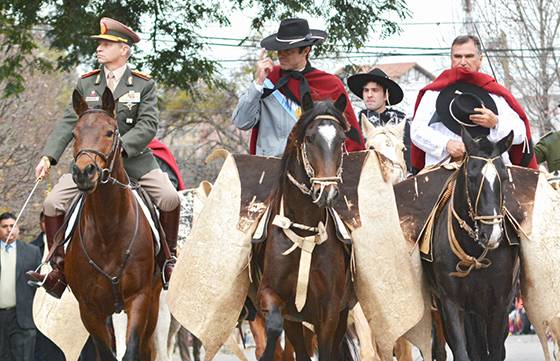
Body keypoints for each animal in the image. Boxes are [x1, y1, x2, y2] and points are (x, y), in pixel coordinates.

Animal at [66, 88, 162, 360]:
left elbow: (131, 351)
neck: (108, 229)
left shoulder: (139, 299)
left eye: (110, 132)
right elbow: (106, 353)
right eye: (74, 134)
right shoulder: (89, 309)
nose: (84, 172)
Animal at [258, 93, 356, 360]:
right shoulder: (273, 296)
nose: (327, 192)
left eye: (341, 139)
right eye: (310, 138)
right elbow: (273, 327)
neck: (304, 231)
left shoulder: (330, 310)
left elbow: (326, 349)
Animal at [424, 129, 520, 360]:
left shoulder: (499, 304)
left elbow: (495, 351)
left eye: (504, 177)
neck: (475, 252)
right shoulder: (451, 303)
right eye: (473, 178)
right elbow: (463, 350)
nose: (492, 235)